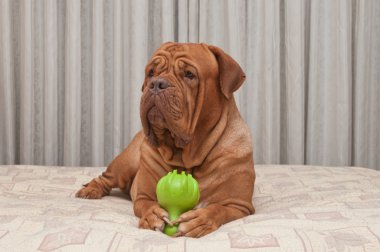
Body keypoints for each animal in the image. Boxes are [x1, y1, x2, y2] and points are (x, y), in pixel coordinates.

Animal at [76, 42, 255, 237]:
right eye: (151, 72)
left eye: (189, 74)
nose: (156, 84)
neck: (188, 157)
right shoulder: (143, 195)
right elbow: (147, 204)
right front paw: (152, 215)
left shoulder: (239, 205)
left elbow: (218, 209)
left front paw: (199, 221)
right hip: (124, 165)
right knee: (104, 178)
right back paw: (90, 190)